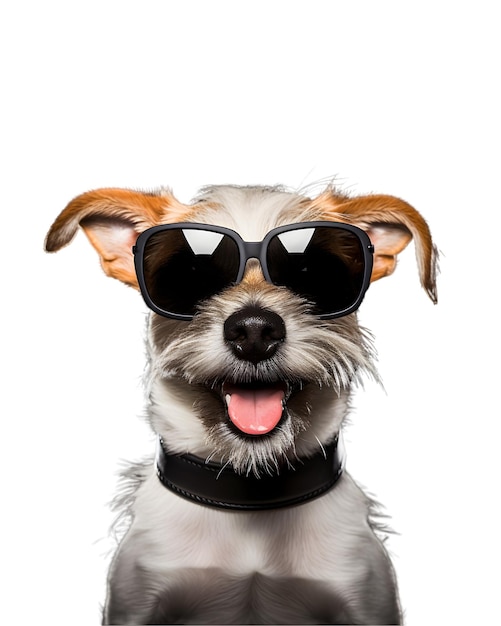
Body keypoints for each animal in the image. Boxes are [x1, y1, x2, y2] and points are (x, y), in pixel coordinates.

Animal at [47, 183, 438, 620]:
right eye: (190, 274)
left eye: (312, 272)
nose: (253, 330)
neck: (251, 501)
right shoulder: (135, 602)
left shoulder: (366, 599)